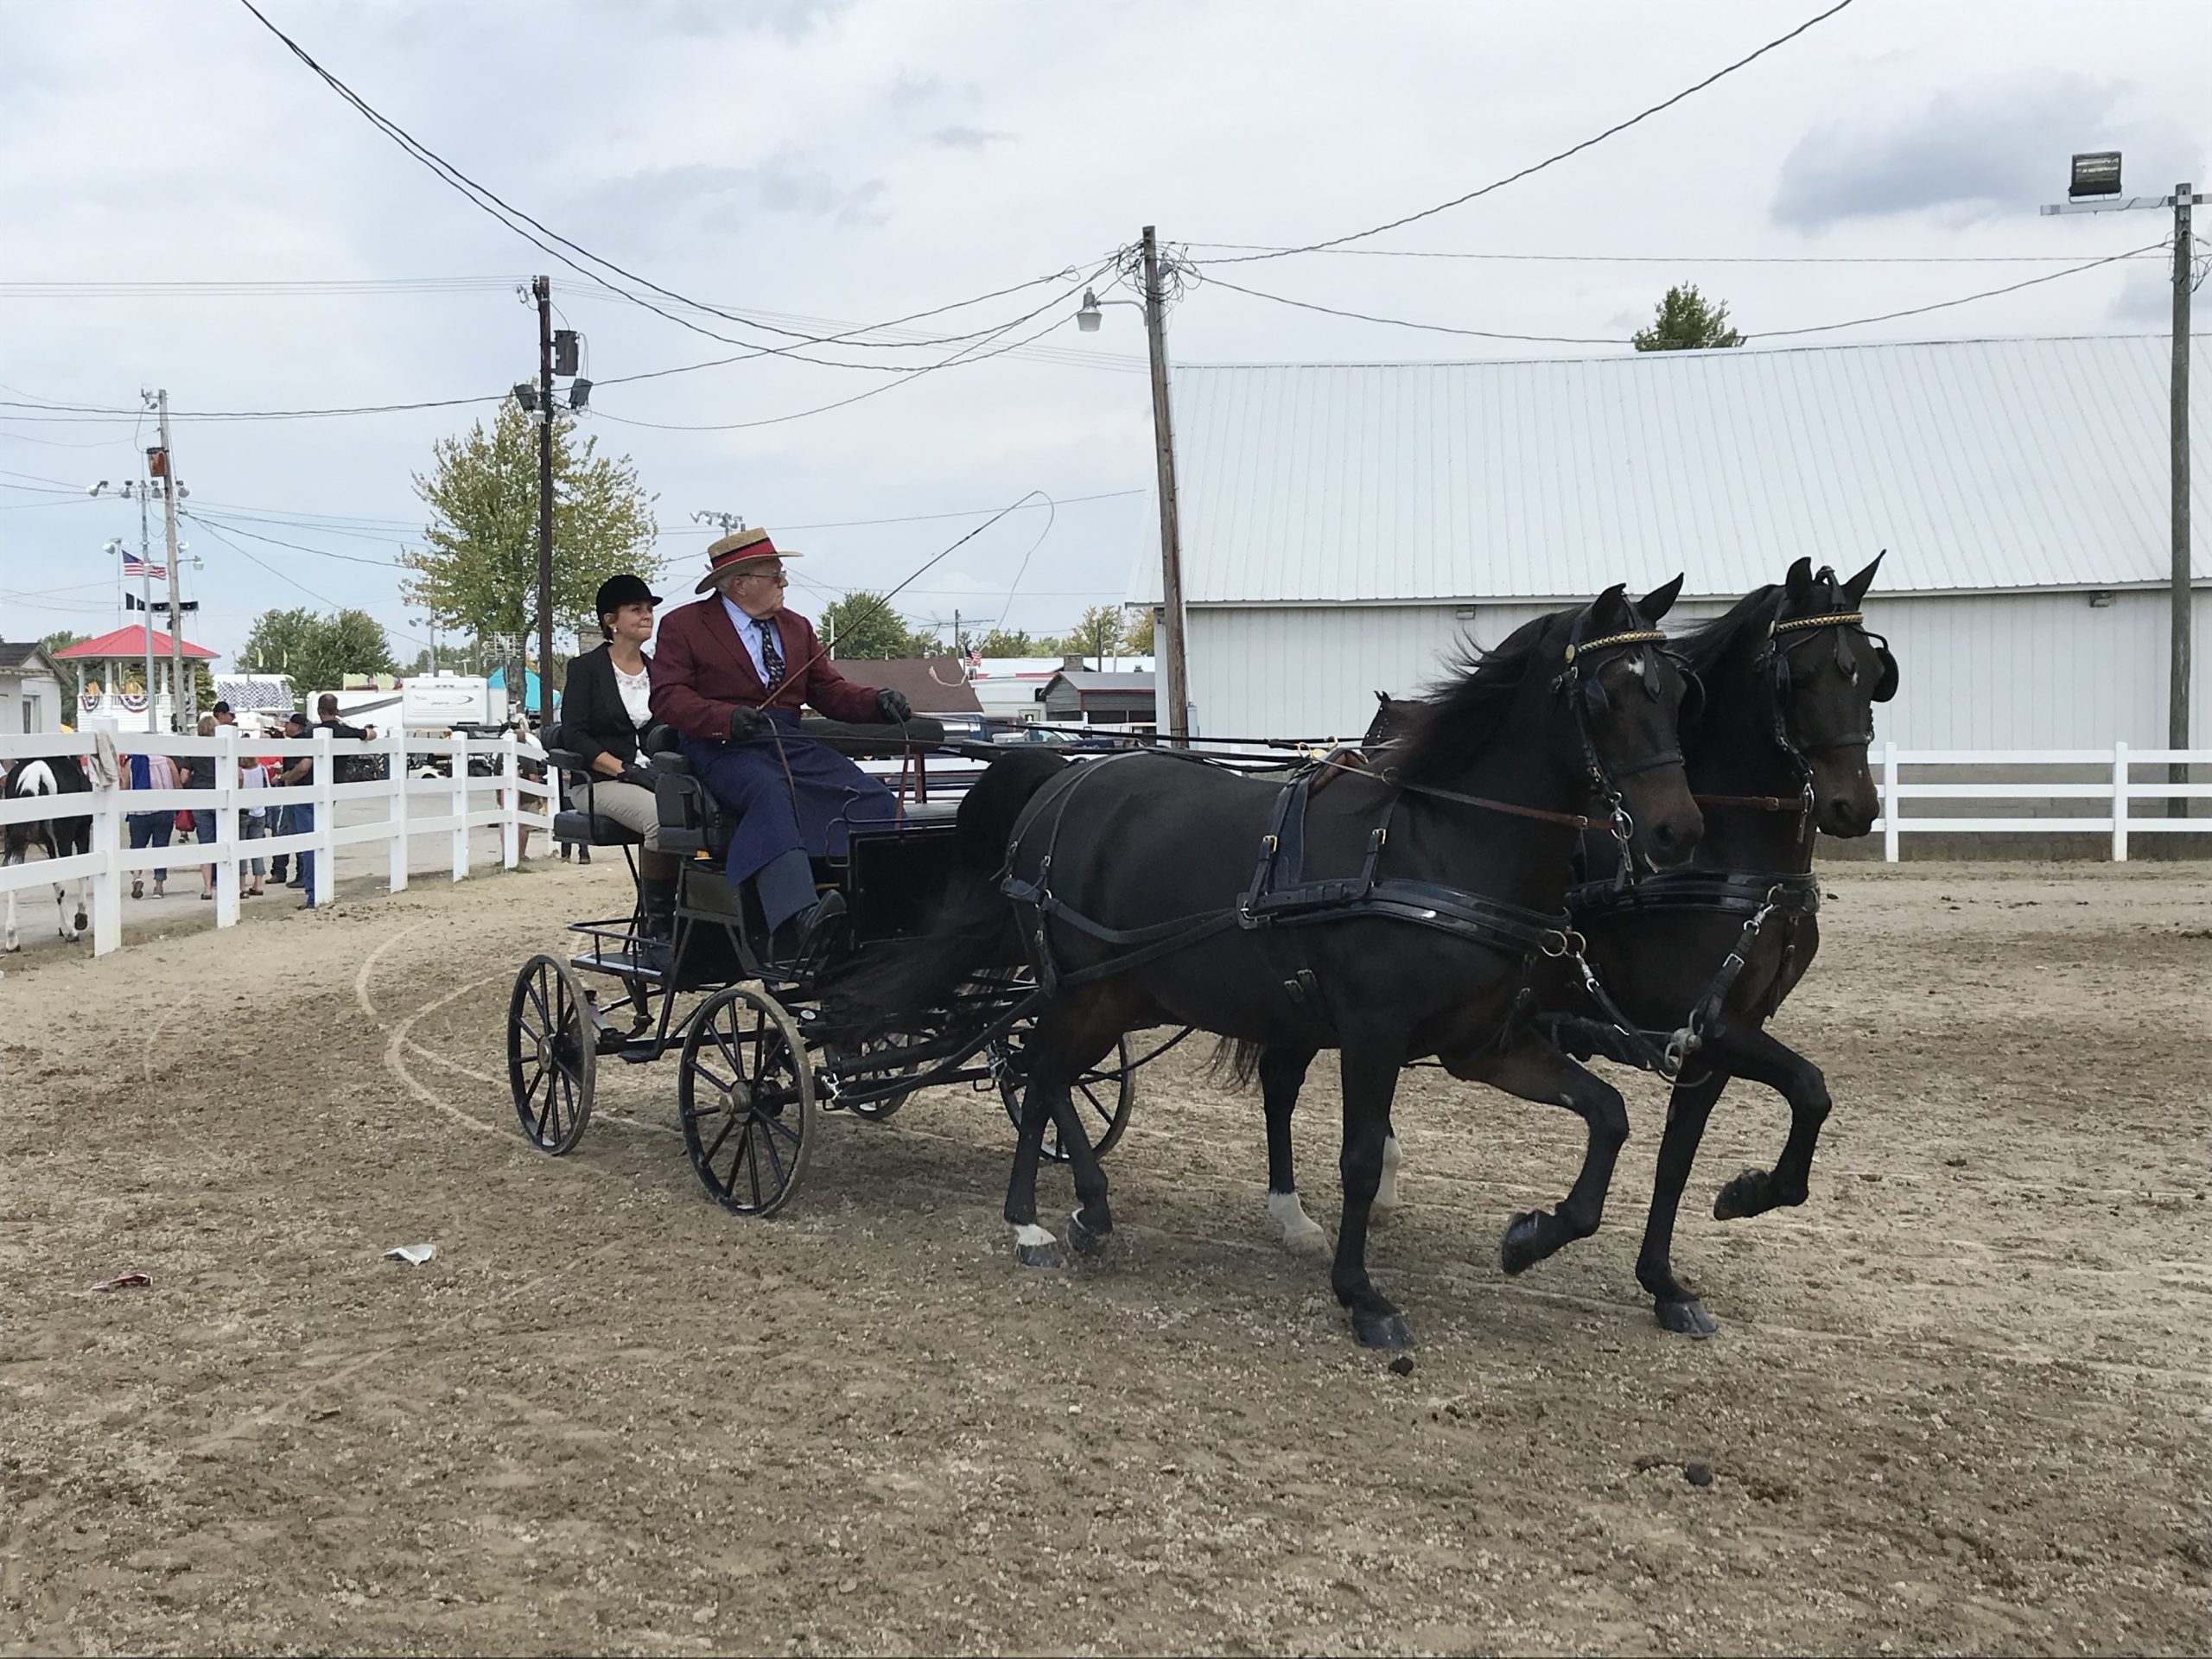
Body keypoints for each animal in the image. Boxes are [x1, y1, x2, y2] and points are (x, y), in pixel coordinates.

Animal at [3, 756, 96, 955]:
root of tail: (34, 773)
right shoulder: (82, 834)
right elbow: (82, 874)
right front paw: (80, 919)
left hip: (18, 839)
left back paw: (12, 939)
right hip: (62, 840)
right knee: (60, 880)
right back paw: (70, 932)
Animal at [1256, 559, 1893, 1336]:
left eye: (1872, 674)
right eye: (1798, 676)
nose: (1853, 807)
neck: (1723, 857)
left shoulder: (1715, 1034)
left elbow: (1683, 1155)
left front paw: (1667, 1280)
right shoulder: (1700, 1022)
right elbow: (1810, 1087)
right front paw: (1748, 1193)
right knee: (1280, 1082)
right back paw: (1292, 1214)